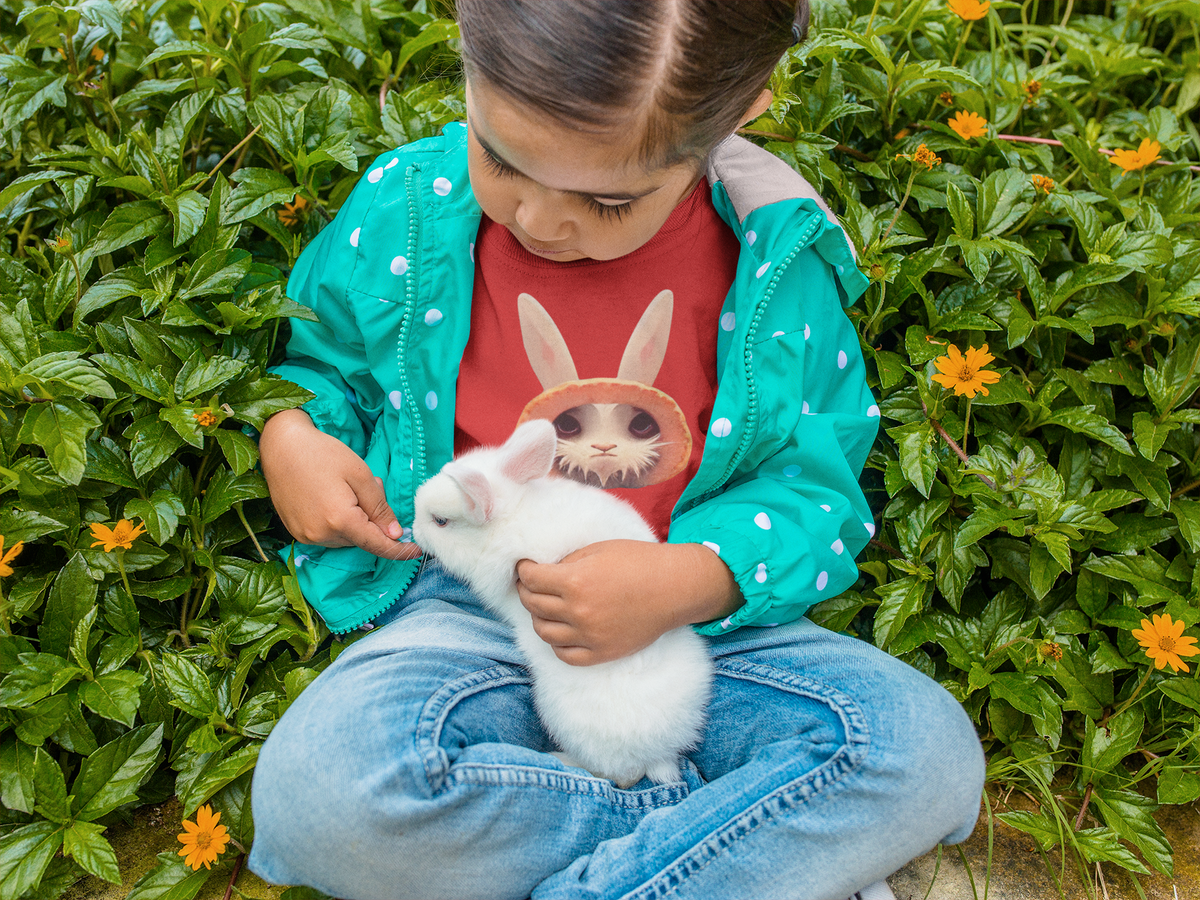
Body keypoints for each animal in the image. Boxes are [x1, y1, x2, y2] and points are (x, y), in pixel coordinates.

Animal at [412, 420, 710, 787]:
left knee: (621, 777)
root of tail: (661, 755)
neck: (512, 516)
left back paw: (562, 760)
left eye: (440, 521)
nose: (412, 530)